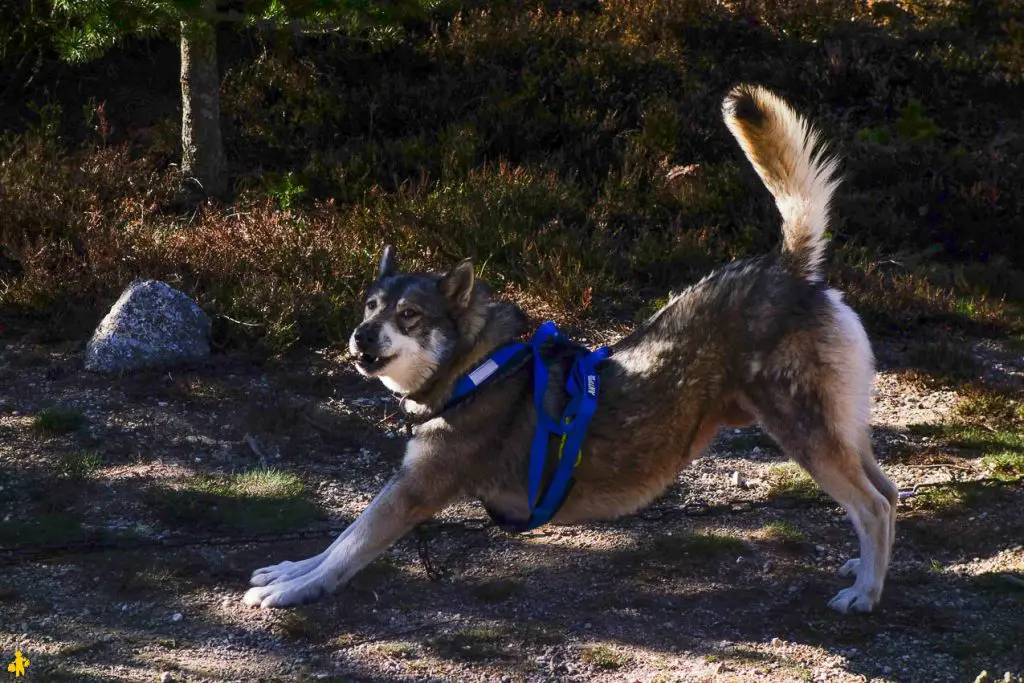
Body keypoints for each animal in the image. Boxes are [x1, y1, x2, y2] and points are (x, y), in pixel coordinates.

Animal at [239, 83, 897, 614]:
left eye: (408, 316)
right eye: (368, 307)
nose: (360, 336)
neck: (475, 366)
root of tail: (789, 269)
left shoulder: (412, 491)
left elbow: (347, 544)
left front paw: (295, 590)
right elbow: (332, 542)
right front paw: (288, 570)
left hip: (804, 433)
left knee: (873, 506)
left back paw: (864, 593)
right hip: (840, 431)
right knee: (887, 496)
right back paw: (865, 567)